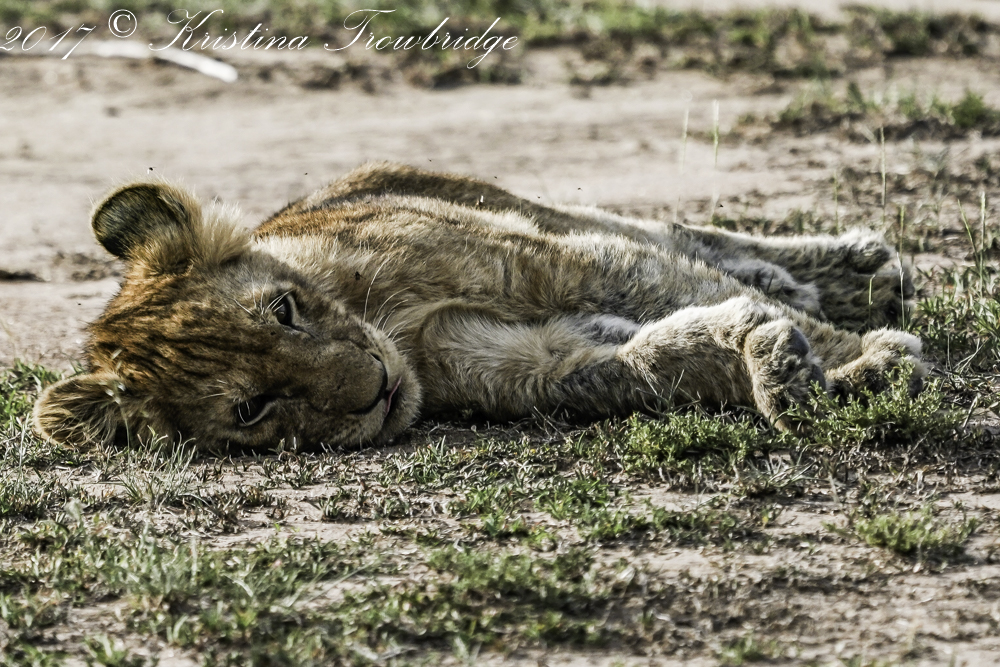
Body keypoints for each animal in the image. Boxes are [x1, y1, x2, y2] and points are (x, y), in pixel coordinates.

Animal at [33, 161, 923, 452]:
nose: (377, 389)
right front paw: (787, 360)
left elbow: (675, 281)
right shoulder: (528, 365)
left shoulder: (547, 263)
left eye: (283, 309)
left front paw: (868, 362)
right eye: (250, 408)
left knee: (679, 234)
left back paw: (858, 272)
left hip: (525, 207)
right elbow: (656, 353)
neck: (398, 329)